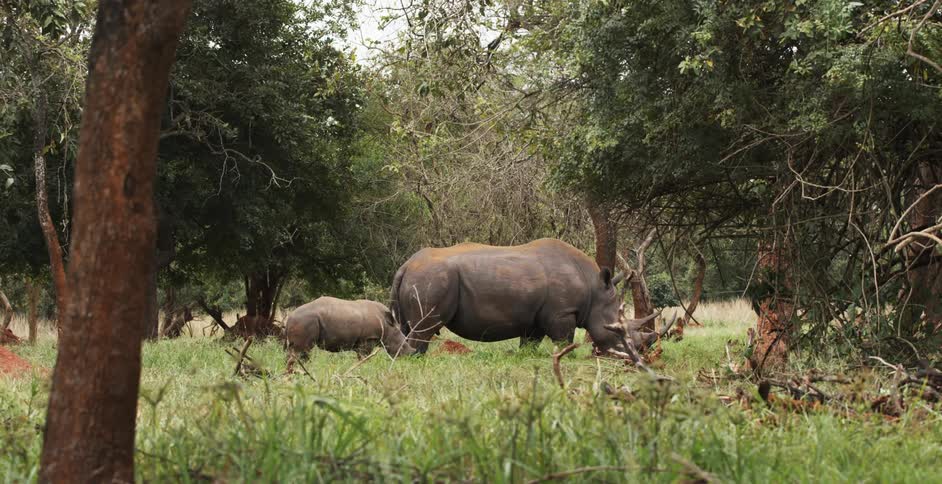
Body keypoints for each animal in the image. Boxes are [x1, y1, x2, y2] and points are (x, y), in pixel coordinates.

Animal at [285, 296, 415, 363]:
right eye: (403, 345)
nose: (410, 355)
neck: (388, 327)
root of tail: (289, 318)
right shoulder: (368, 338)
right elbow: (364, 357)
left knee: (298, 351)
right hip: (305, 320)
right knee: (302, 350)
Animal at [389, 238, 657, 354]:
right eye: (619, 330)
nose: (635, 355)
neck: (594, 289)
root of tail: (406, 265)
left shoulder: (538, 316)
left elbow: (530, 342)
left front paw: (528, 357)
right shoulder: (563, 313)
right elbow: (565, 340)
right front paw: (567, 356)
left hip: (423, 276)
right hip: (433, 277)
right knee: (424, 328)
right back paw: (417, 358)